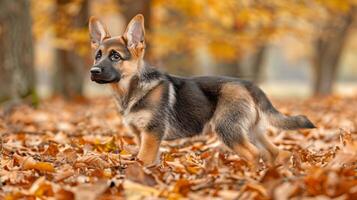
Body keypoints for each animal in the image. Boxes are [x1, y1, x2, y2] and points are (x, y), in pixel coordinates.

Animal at [88, 13, 314, 167]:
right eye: (97, 55)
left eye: (115, 56)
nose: (93, 71)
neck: (132, 88)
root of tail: (248, 84)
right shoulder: (141, 135)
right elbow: (150, 161)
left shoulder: (151, 133)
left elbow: (142, 160)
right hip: (252, 130)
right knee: (275, 152)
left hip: (228, 128)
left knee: (254, 154)